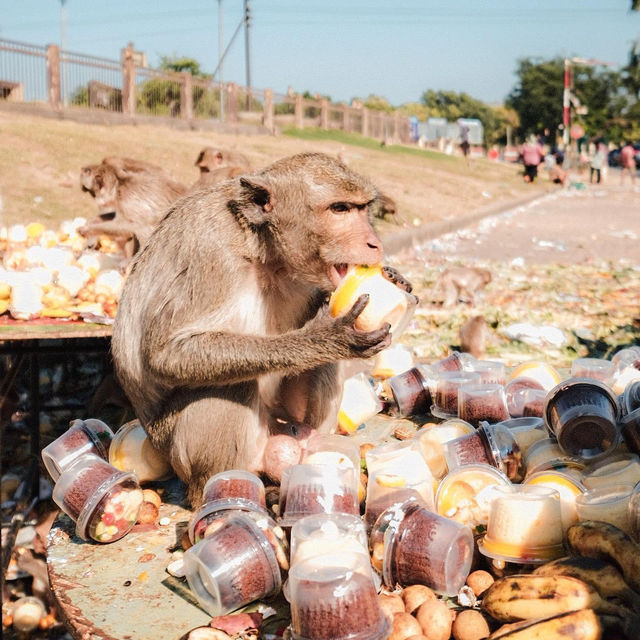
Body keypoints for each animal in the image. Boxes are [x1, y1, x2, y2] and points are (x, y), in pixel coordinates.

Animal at [112, 152, 412, 508]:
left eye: (363, 208)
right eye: (340, 209)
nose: (374, 243)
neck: (262, 249)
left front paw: (393, 278)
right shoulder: (211, 253)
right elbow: (166, 353)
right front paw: (326, 339)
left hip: (285, 426)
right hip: (180, 452)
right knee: (230, 386)